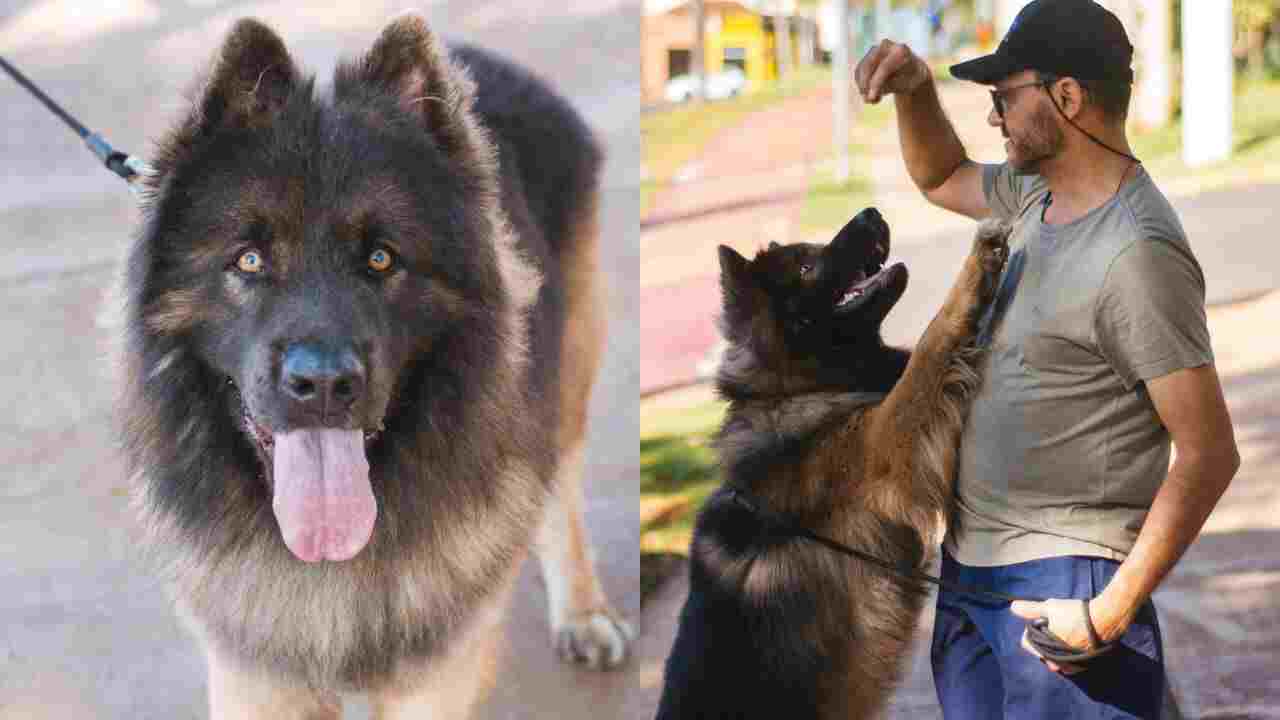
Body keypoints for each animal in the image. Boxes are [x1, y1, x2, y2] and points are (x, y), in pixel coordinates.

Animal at [660, 208, 1008, 717]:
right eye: (806, 267)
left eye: (812, 248)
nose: (872, 213)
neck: (796, 389)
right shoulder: (887, 447)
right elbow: (930, 346)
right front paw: (978, 263)